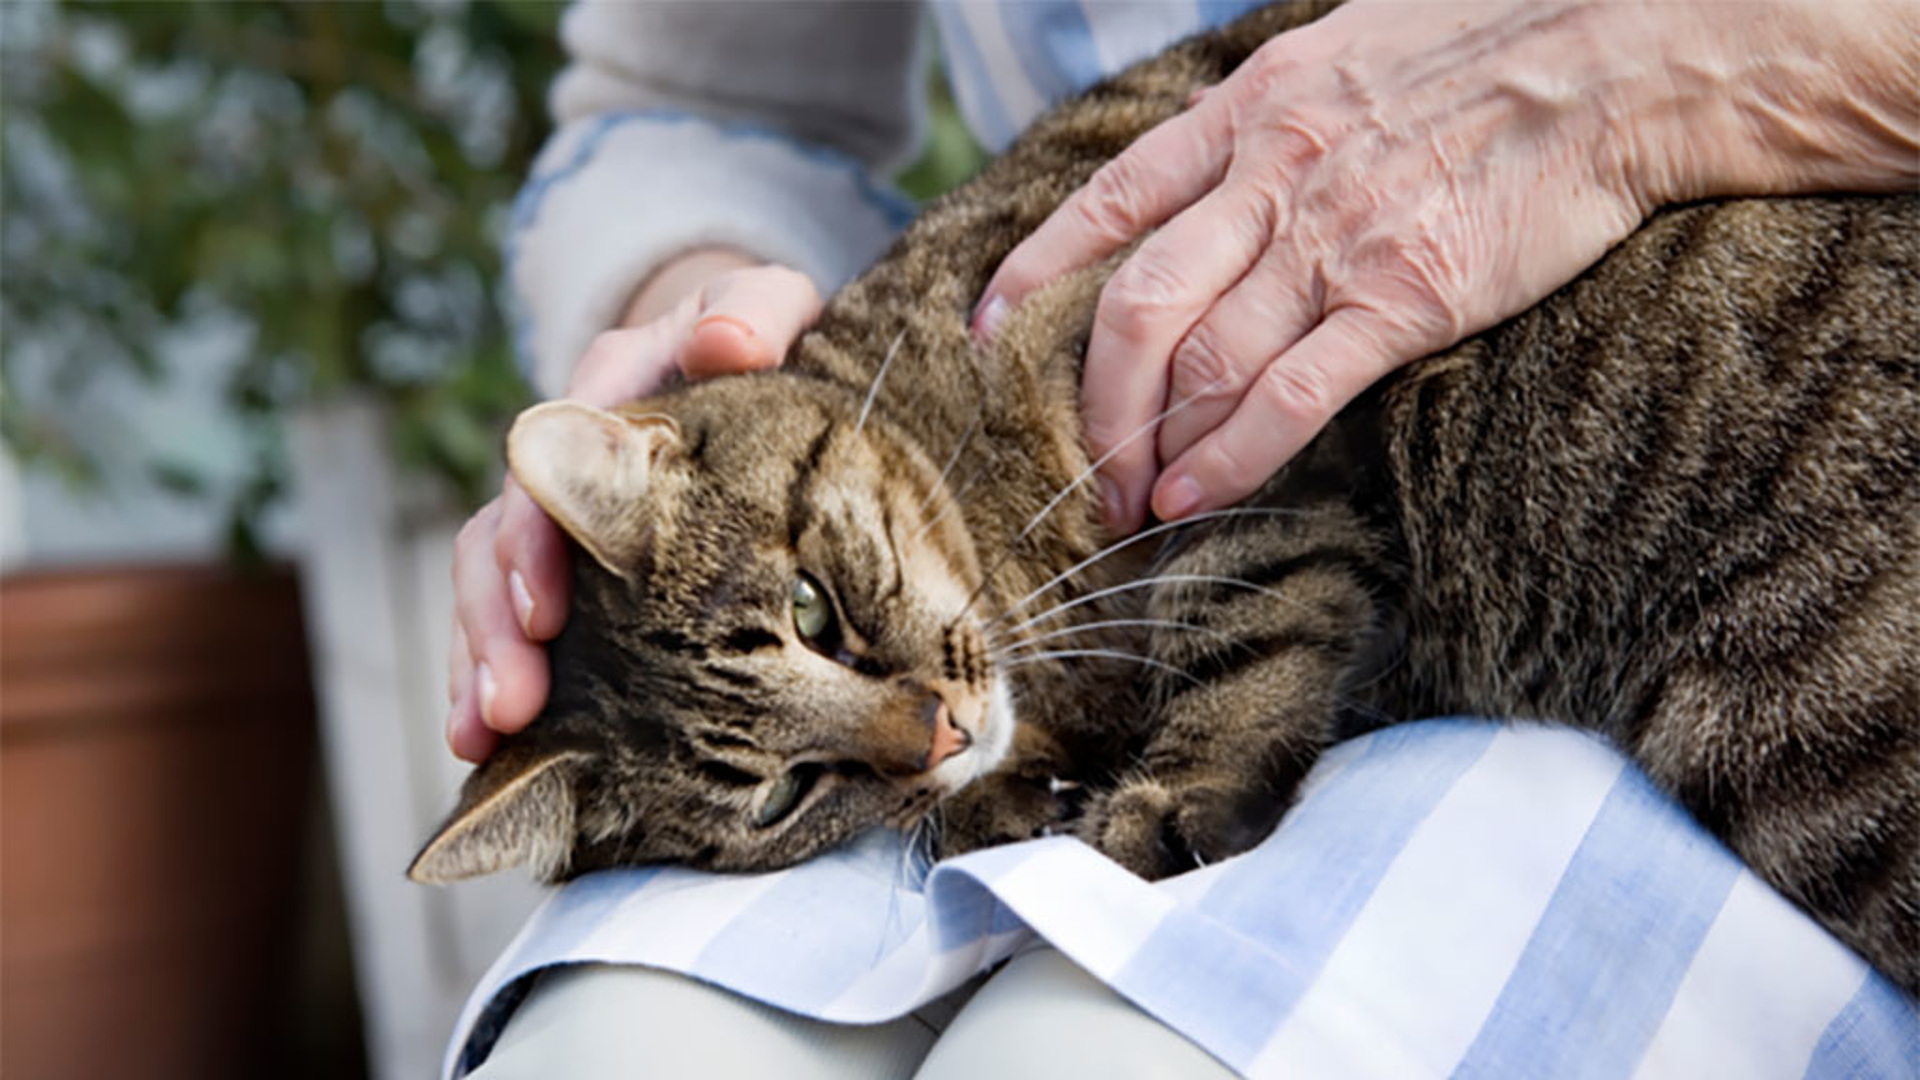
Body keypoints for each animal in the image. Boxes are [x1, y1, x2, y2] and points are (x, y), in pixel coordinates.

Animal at [412, 2, 1912, 991]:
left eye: (812, 607)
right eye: (785, 794)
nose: (933, 730)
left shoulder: (1227, 411)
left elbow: (1242, 618)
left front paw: (1159, 793)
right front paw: (1006, 799)